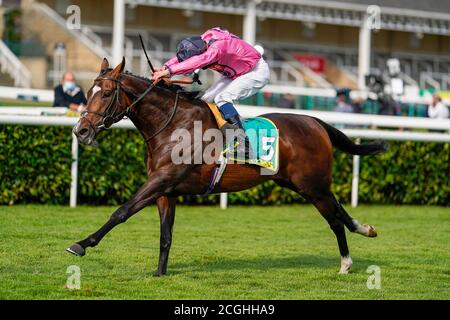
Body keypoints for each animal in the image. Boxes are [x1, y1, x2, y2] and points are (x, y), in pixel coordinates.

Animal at [67, 58, 386, 276]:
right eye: (88, 91)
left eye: (105, 93)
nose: (81, 131)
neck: (172, 125)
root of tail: (316, 122)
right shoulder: (166, 190)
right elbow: (165, 235)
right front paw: (160, 273)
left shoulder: (161, 180)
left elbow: (121, 212)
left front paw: (81, 244)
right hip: (300, 183)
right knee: (339, 209)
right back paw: (365, 229)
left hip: (312, 185)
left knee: (333, 220)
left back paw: (345, 263)